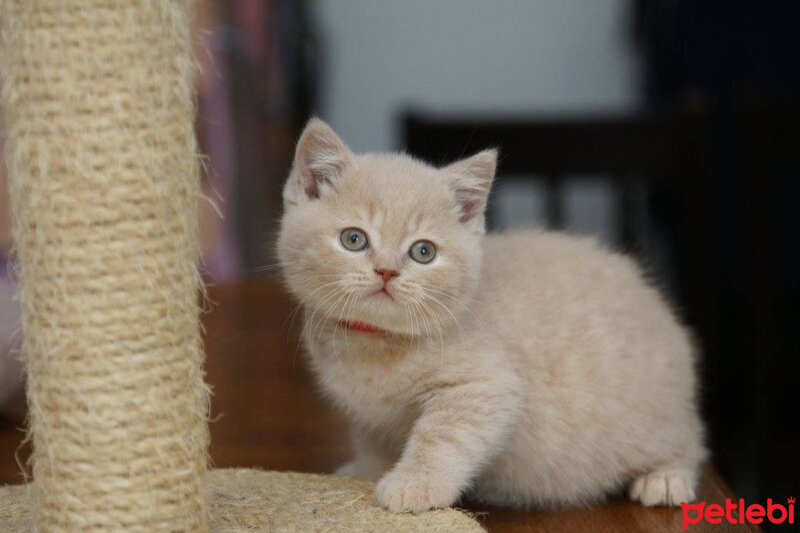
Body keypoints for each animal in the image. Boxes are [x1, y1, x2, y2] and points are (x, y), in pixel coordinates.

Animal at [280, 117, 708, 512]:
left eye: (423, 252)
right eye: (353, 239)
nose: (386, 271)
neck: (375, 342)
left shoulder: (485, 386)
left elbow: (442, 435)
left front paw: (414, 484)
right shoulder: (367, 414)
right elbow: (370, 437)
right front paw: (364, 469)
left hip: (658, 416)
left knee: (693, 439)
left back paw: (666, 477)